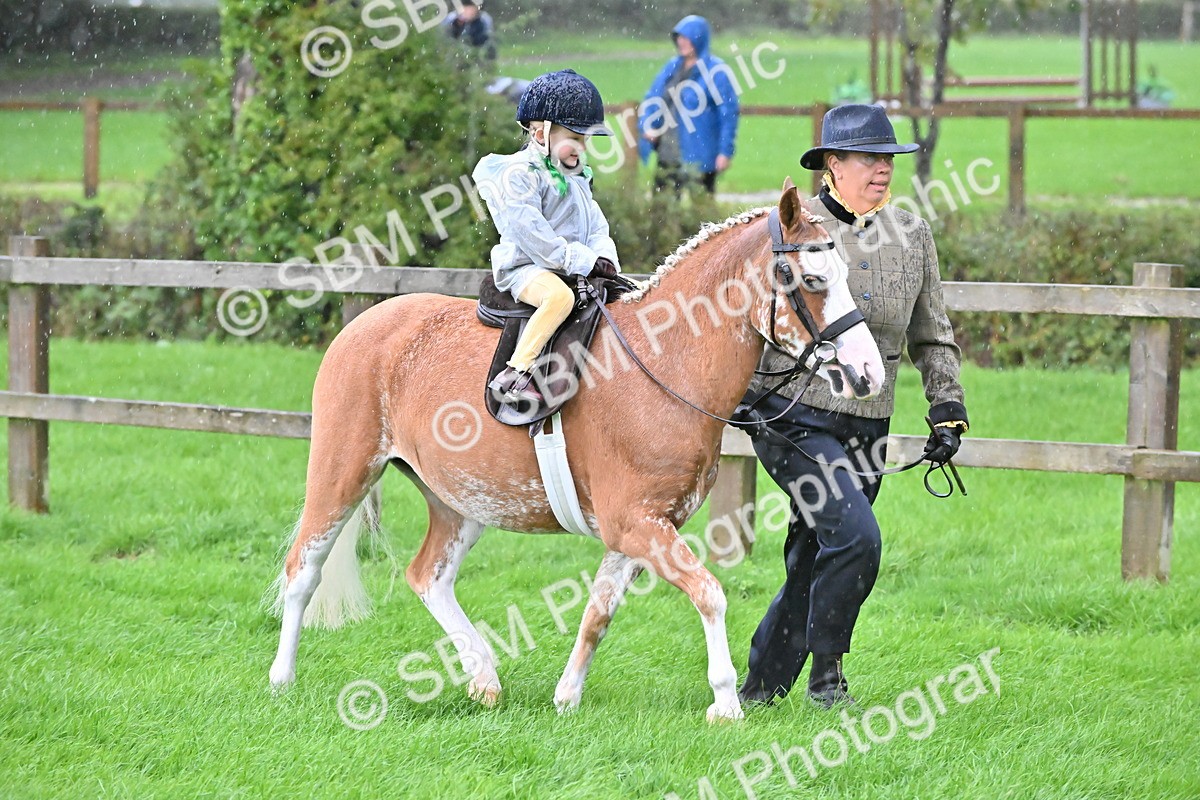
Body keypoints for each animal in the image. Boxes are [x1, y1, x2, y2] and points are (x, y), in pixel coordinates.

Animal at [267, 178, 885, 722]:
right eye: (811, 278)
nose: (868, 372)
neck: (665, 363)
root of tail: (365, 324)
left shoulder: (639, 530)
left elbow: (598, 613)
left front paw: (567, 697)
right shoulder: (636, 522)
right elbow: (710, 594)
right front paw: (725, 702)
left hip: (460, 501)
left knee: (428, 577)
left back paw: (484, 676)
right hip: (344, 473)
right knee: (304, 570)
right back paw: (282, 679)